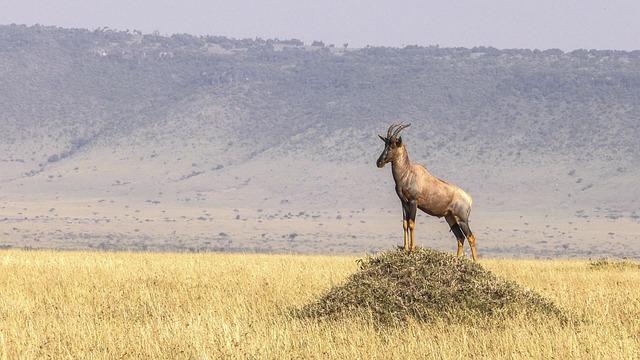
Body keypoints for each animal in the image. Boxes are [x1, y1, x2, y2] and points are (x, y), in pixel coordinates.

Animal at [378, 122, 478, 260]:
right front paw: (405, 248)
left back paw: (476, 262)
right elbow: (404, 224)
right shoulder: (403, 202)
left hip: (462, 218)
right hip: (450, 217)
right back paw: (457, 260)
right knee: (460, 237)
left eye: (393, 145)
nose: (379, 162)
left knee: (471, 237)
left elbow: (411, 223)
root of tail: (469, 199)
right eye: (385, 144)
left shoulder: (413, 202)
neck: (408, 172)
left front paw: (412, 250)